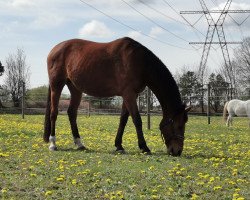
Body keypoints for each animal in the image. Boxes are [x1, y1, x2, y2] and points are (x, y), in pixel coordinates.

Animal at [44, 37, 190, 156]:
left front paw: (119, 146)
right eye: (179, 125)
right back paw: (53, 144)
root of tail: (54, 50)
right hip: (57, 85)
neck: (140, 62)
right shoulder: (129, 94)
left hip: (75, 89)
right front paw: (144, 147)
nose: (177, 151)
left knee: (72, 113)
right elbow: (137, 120)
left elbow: (123, 120)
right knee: (54, 113)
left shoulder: (129, 95)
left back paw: (79, 144)